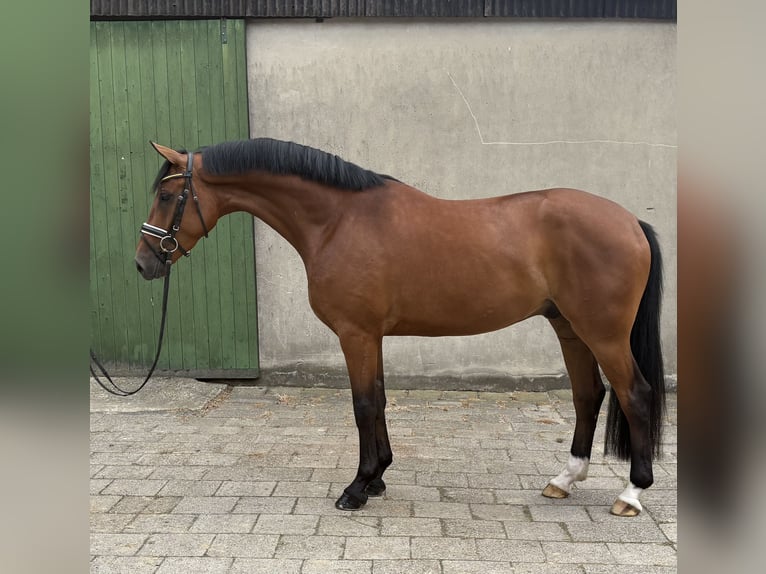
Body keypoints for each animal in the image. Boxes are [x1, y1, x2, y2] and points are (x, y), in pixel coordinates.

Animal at [135, 138, 665, 517]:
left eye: (166, 194)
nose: (144, 264)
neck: (338, 220)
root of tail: (630, 222)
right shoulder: (372, 336)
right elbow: (380, 398)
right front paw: (379, 479)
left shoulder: (356, 334)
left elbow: (363, 405)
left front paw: (356, 487)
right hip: (569, 327)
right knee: (588, 395)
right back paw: (564, 480)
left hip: (603, 333)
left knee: (634, 394)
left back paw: (632, 494)